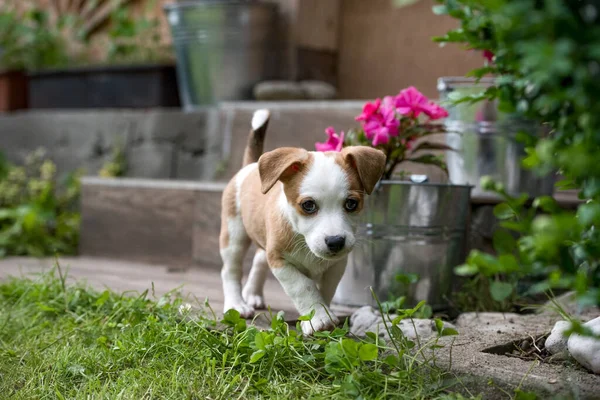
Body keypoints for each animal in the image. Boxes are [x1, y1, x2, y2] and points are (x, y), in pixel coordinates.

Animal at [219, 108, 384, 334]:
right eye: (308, 205)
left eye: (351, 203)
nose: (335, 242)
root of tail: (250, 166)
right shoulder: (280, 261)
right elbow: (303, 287)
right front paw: (319, 318)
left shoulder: (337, 264)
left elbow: (326, 290)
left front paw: (324, 312)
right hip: (234, 236)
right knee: (230, 271)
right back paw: (236, 304)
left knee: (258, 260)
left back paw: (253, 294)